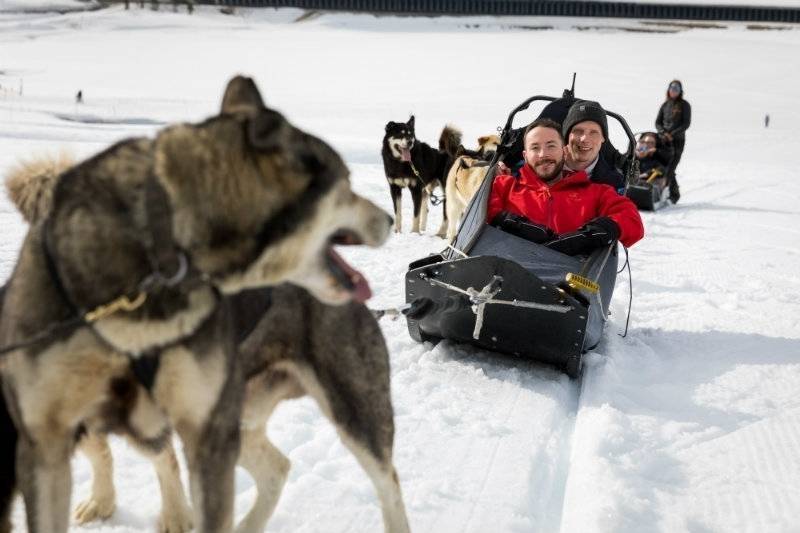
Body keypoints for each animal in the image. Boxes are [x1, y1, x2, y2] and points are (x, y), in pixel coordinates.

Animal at [0, 76, 392, 532]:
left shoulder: (207, 435)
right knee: (275, 467)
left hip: (352, 414)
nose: (390, 218)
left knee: (387, 489)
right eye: (346, 182)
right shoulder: (44, 438)